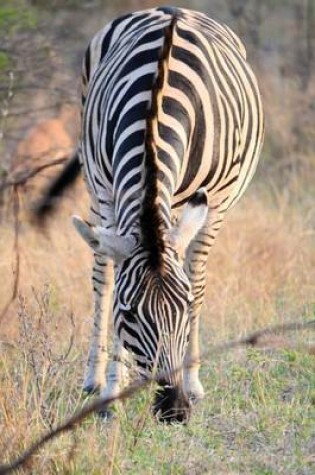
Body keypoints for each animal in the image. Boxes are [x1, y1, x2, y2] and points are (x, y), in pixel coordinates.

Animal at [35, 6, 266, 424]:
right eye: (127, 316)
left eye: (184, 308)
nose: (175, 408)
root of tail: (173, 9)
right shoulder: (108, 193)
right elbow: (109, 283)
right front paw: (112, 392)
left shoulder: (208, 202)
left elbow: (196, 283)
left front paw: (190, 381)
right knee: (101, 276)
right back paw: (95, 379)